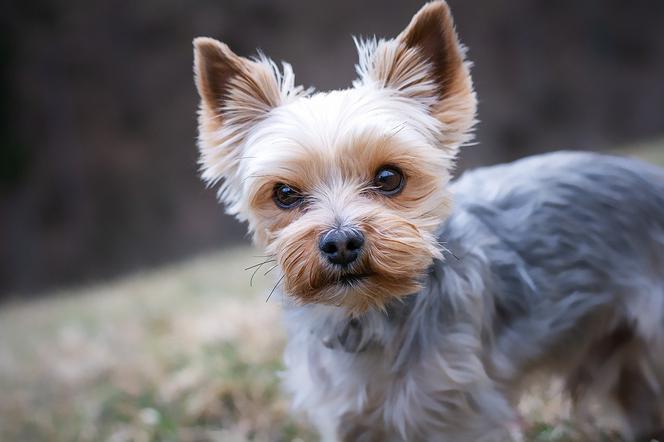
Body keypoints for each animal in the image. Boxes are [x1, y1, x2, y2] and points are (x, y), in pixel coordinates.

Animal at [192, 1, 664, 440]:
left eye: (389, 177)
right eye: (284, 194)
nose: (341, 242)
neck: (368, 315)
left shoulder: (459, 414)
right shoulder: (346, 418)